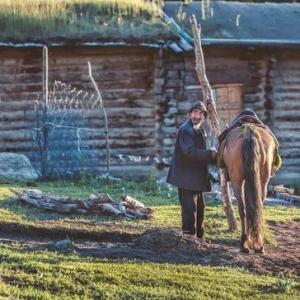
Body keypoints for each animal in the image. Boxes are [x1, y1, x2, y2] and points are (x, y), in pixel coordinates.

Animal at [220, 115, 278, 253]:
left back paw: (244, 244)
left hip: (236, 180)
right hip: (263, 179)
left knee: (242, 208)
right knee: (258, 206)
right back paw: (259, 245)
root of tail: (250, 134)